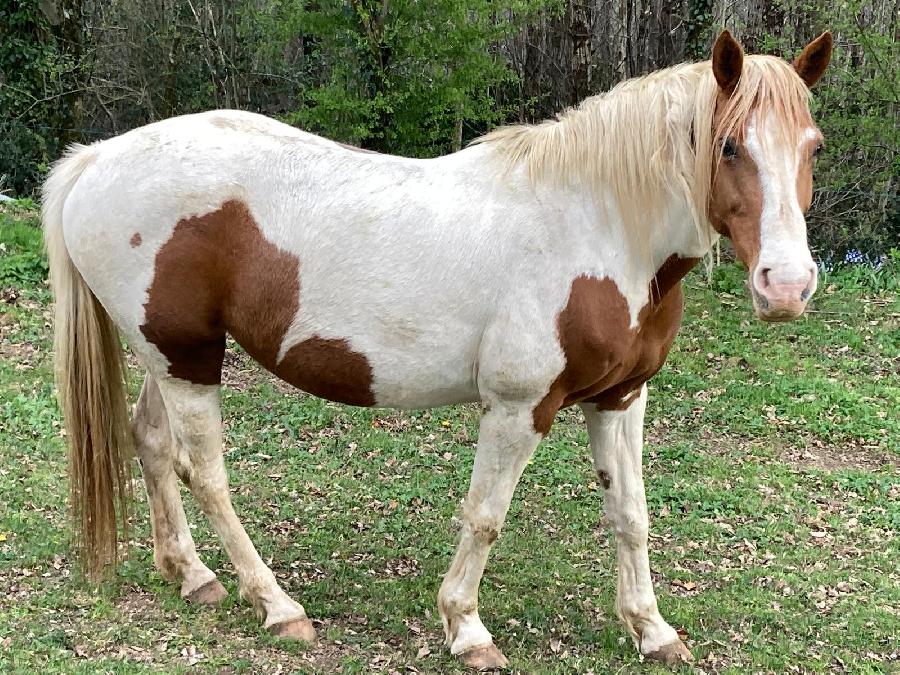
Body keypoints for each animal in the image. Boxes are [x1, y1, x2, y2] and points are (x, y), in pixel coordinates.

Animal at [43, 30, 832, 668]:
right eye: (728, 145)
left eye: (812, 146)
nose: (787, 286)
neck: (596, 225)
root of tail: (98, 159)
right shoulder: (518, 407)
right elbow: (485, 515)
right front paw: (467, 628)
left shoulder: (620, 397)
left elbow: (631, 515)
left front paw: (652, 629)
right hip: (187, 359)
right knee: (205, 474)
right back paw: (277, 605)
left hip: (171, 353)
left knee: (150, 443)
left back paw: (192, 574)